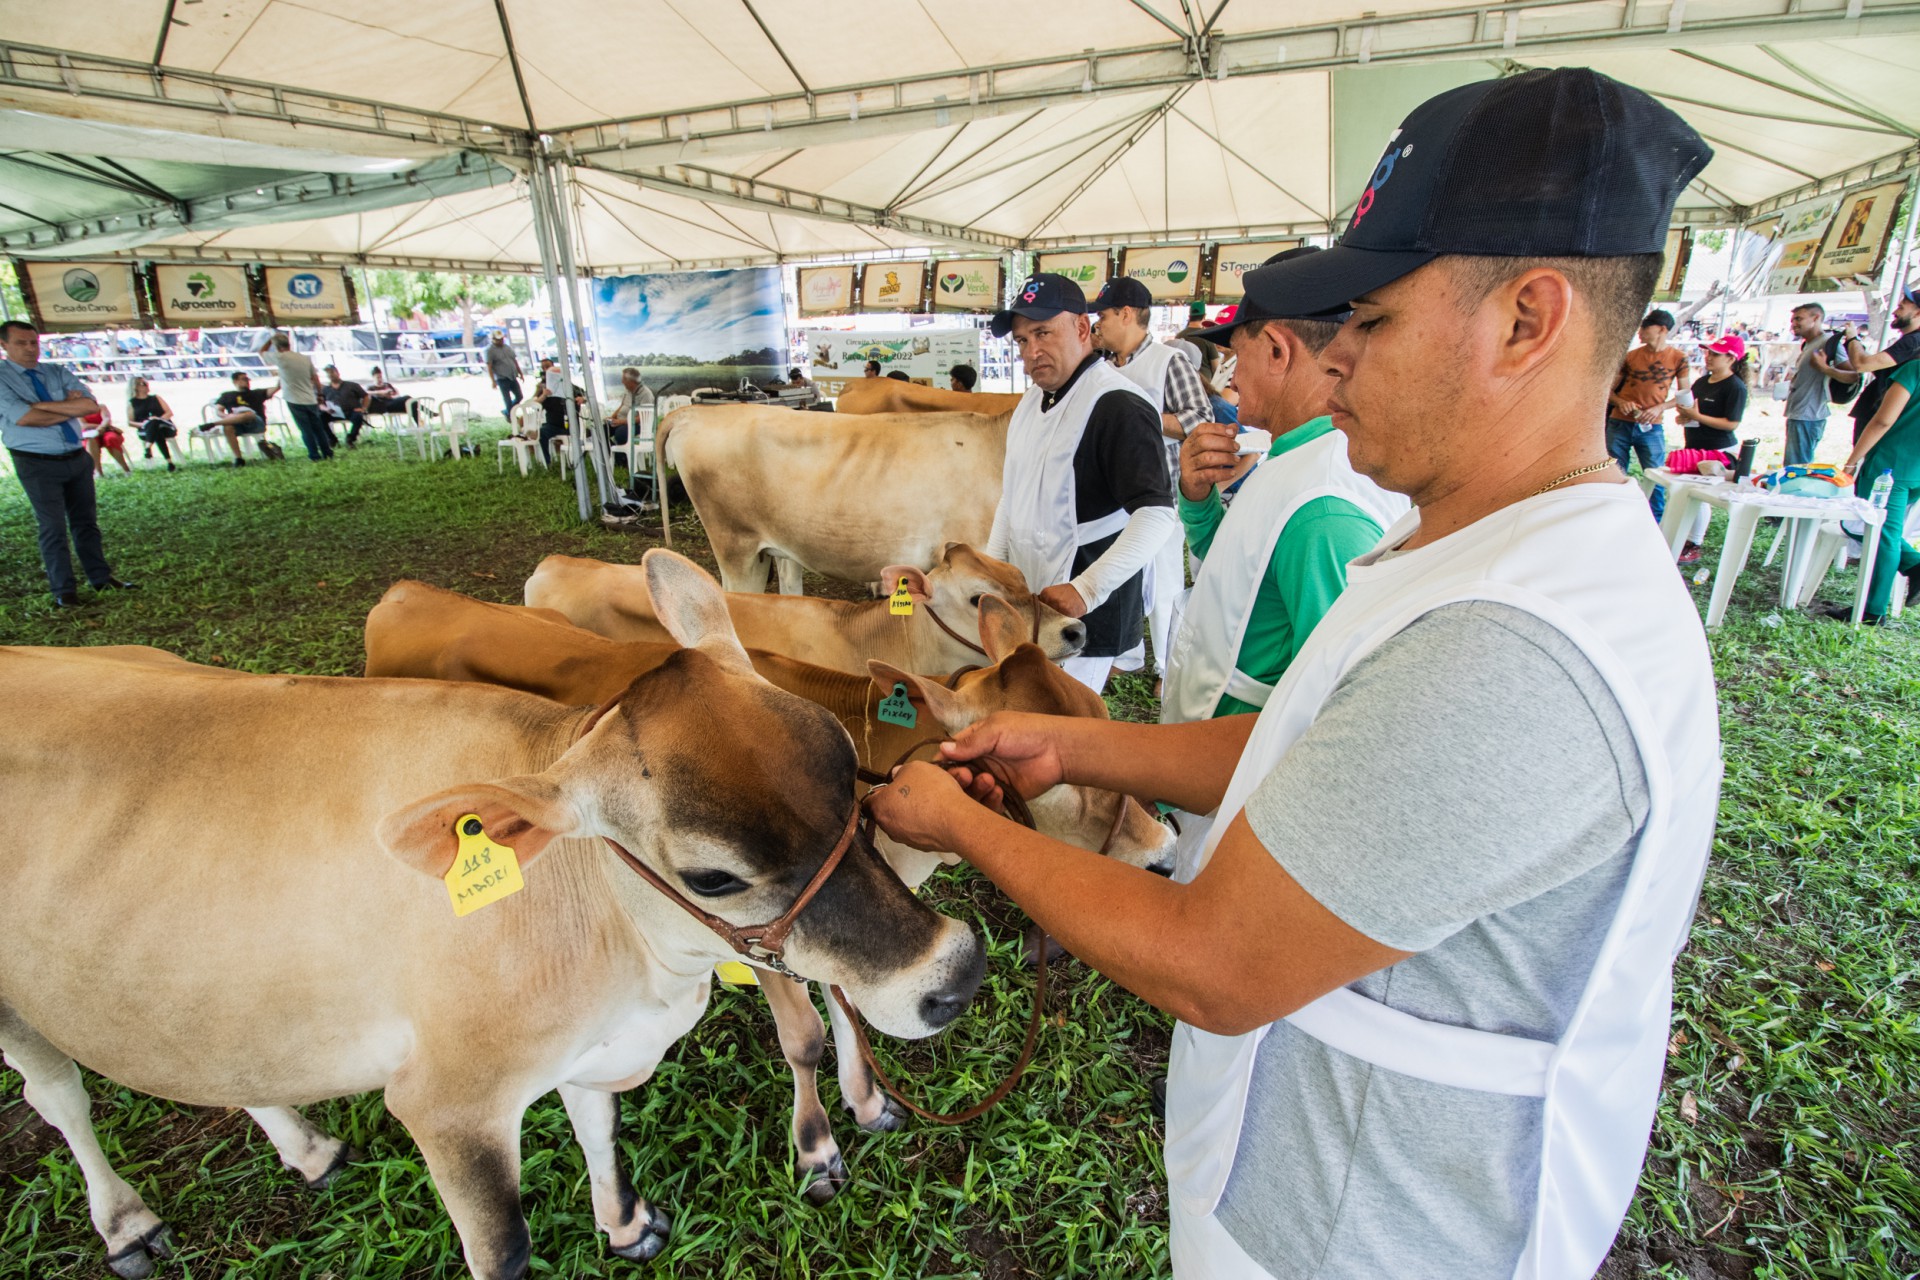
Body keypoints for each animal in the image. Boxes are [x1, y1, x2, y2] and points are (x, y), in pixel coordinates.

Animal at [0, 552, 983, 1280]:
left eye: (847, 761)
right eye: (712, 877)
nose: (955, 972)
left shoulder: (585, 1044)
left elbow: (597, 1126)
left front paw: (624, 1224)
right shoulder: (448, 1106)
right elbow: (503, 1249)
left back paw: (307, 1149)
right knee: (59, 1095)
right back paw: (126, 1223)